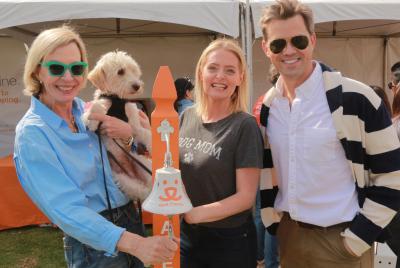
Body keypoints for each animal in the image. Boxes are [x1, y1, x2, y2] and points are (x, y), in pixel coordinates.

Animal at [83, 50, 152, 201]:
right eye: (120, 71)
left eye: (134, 71)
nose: (137, 86)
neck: (116, 99)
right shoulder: (105, 100)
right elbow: (97, 105)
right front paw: (90, 120)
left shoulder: (132, 115)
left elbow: (141, 131)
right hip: (122, 179)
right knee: (141, 190)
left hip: (143, 163)